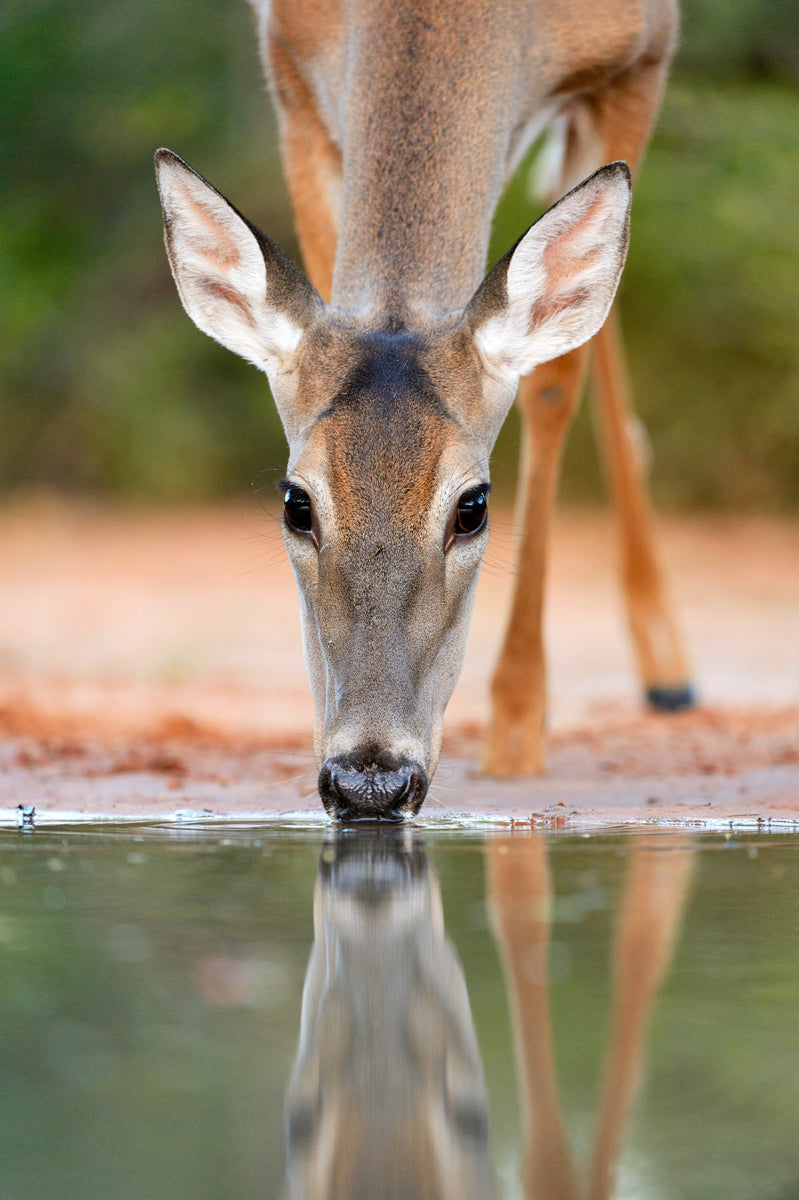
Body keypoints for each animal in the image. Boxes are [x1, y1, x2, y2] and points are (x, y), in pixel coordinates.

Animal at [155, 0, 693, 821]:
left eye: (473, 506)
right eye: (295, 502)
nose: (370, 779)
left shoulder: (638, 60)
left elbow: (553, 382)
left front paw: (516, 730)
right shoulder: (291, 66)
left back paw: (666, 670)